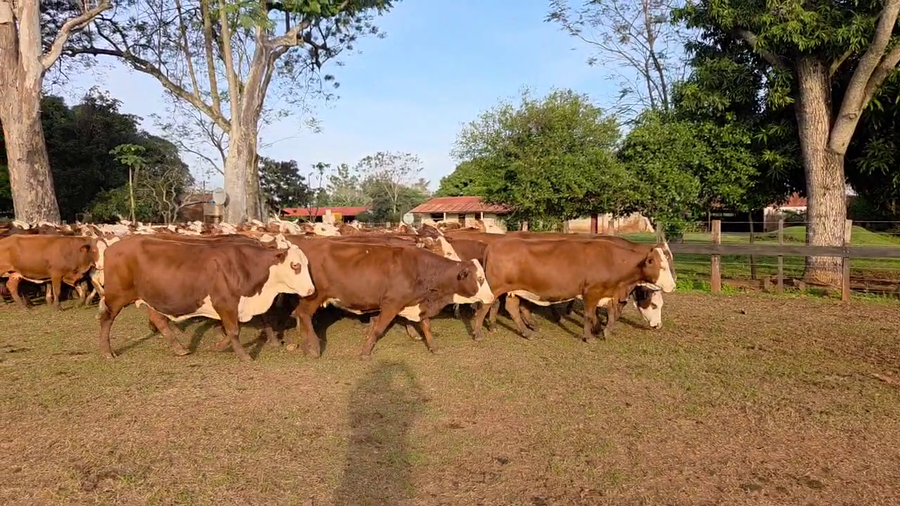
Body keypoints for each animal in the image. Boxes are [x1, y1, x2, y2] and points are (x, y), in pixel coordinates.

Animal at [97, 235, 315, 362]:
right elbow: (234, 330)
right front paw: (244, 356)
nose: (311, 290)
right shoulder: (225, 303)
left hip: (151, 296)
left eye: (306, 264)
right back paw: (107, 352)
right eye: (295, 265)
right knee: (106, 319)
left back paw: (179, 348)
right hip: (117, 296)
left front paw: (220, 345)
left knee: (159, 319)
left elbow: (241, 326)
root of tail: (112, 247)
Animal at [282, 237, 494, 359]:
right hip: (313, 297)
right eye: (480, 278)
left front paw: (433, 347)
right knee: (303, 314)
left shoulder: (418, 304)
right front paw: (365, 352)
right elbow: (378, 329)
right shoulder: (392, 304)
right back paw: (313, 347)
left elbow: (426, 326)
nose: (491, 297)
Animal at [471, 237, 676, 343]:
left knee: (512, 307)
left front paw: (605, 331)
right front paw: (590, 335)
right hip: (494, 288)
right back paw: (478, 332)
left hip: (514, 289)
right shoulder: (592, 292)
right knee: (484, 307)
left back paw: (526, 332)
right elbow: (590, 315)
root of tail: (495, 244)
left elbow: (611, 313)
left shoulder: (609, 293)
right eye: (662, 266)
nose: (673, 286)